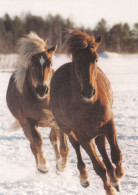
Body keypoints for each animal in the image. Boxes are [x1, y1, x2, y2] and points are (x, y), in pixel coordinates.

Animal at [6, 32, 69, 174]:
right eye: (32, 64)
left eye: (50, 63)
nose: (42, 89)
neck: (43, 101)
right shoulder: (27, 121)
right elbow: (37, 141)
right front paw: (43, 166)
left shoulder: (58, 120)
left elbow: (64, 146)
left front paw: (61, 166)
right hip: (25, 126)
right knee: (33, 146)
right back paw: (39, 169)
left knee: (53, 139)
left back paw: (57, 162)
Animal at [50, 30, 124, 193]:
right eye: (76, 61)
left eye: (95, 59)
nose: (88, 91)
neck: (88, 107)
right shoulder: (82, 135)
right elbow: (98, 167)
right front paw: (109, 189)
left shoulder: (108, 123)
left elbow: (115, 154)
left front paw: (119, 174)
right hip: (68, 129)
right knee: (76, 147)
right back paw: (84, 177)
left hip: (98, 131)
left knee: (102, 148)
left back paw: (114, 177)